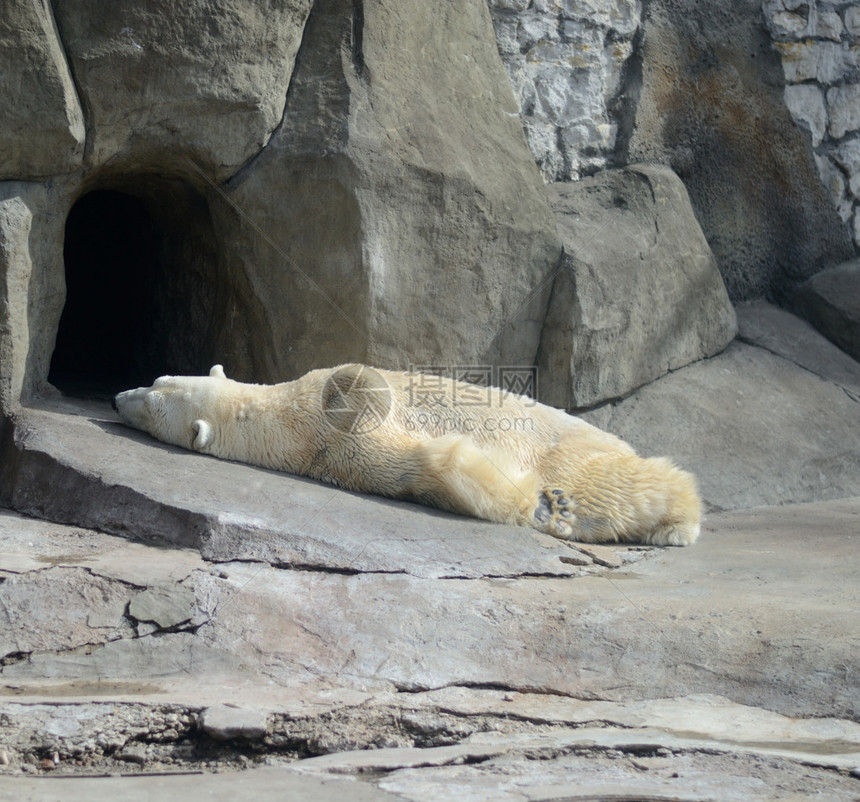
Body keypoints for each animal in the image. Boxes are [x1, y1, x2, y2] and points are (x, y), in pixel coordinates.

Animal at [114, 362, 704, 544]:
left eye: (155, 387)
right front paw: (542, 506)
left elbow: (360, 382)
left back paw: (677, 522)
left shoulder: (330, 415)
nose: (118, 397)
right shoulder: (345, 457)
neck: (294, 431)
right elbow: (428, 469)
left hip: (574, 443)